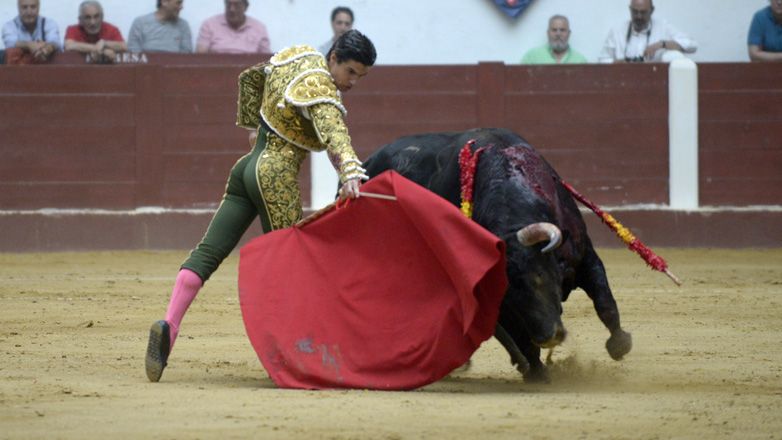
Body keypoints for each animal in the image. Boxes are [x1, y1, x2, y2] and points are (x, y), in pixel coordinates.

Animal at [364, 128, 632, 382]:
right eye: (508, 296)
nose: (548, 337)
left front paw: (619, 344)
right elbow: (516, 333)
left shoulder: (585, 255)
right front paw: (537, 371)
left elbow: (604, 301)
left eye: (539, 277)